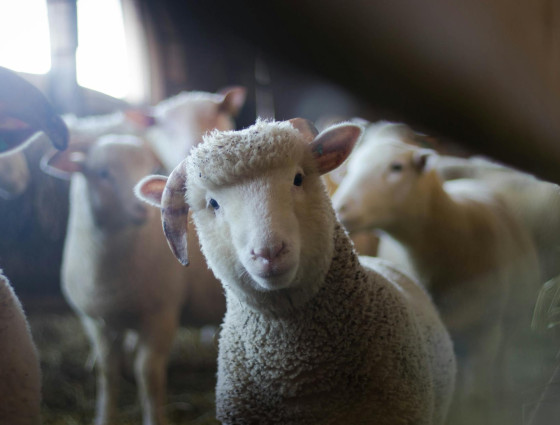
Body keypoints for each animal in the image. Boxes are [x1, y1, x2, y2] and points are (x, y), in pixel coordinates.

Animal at [42, 135, 225, 424]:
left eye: (150, 167)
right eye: (103, 173)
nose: (142, 209)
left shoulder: (162, 315)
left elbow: (147, 374)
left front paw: (155, 419)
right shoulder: (96, 321)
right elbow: (107, 371)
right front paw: (104, 417)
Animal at [332, 123, 544, 424]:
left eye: (396, 167)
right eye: (350, 168)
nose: (341, 207)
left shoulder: (485, 333)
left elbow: (475, 395)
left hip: (511, 319)